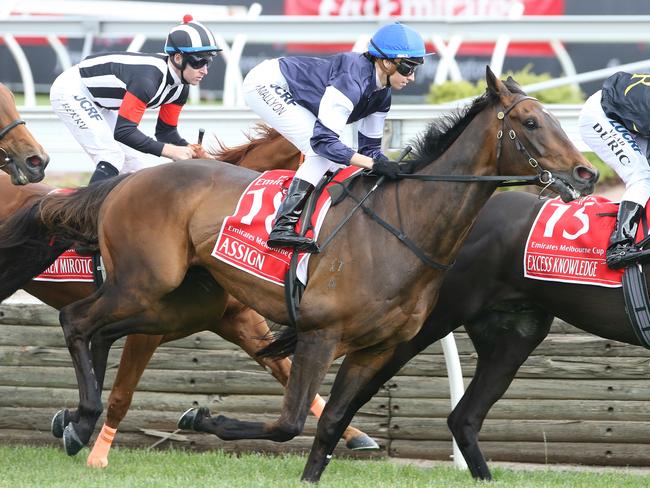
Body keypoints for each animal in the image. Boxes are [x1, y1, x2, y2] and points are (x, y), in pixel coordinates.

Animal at [0, 127, 374, 468]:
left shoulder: (239, 321)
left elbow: (287, 371)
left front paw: (355, 435)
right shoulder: (142, 330)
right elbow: (121, 394)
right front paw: (94, 449)